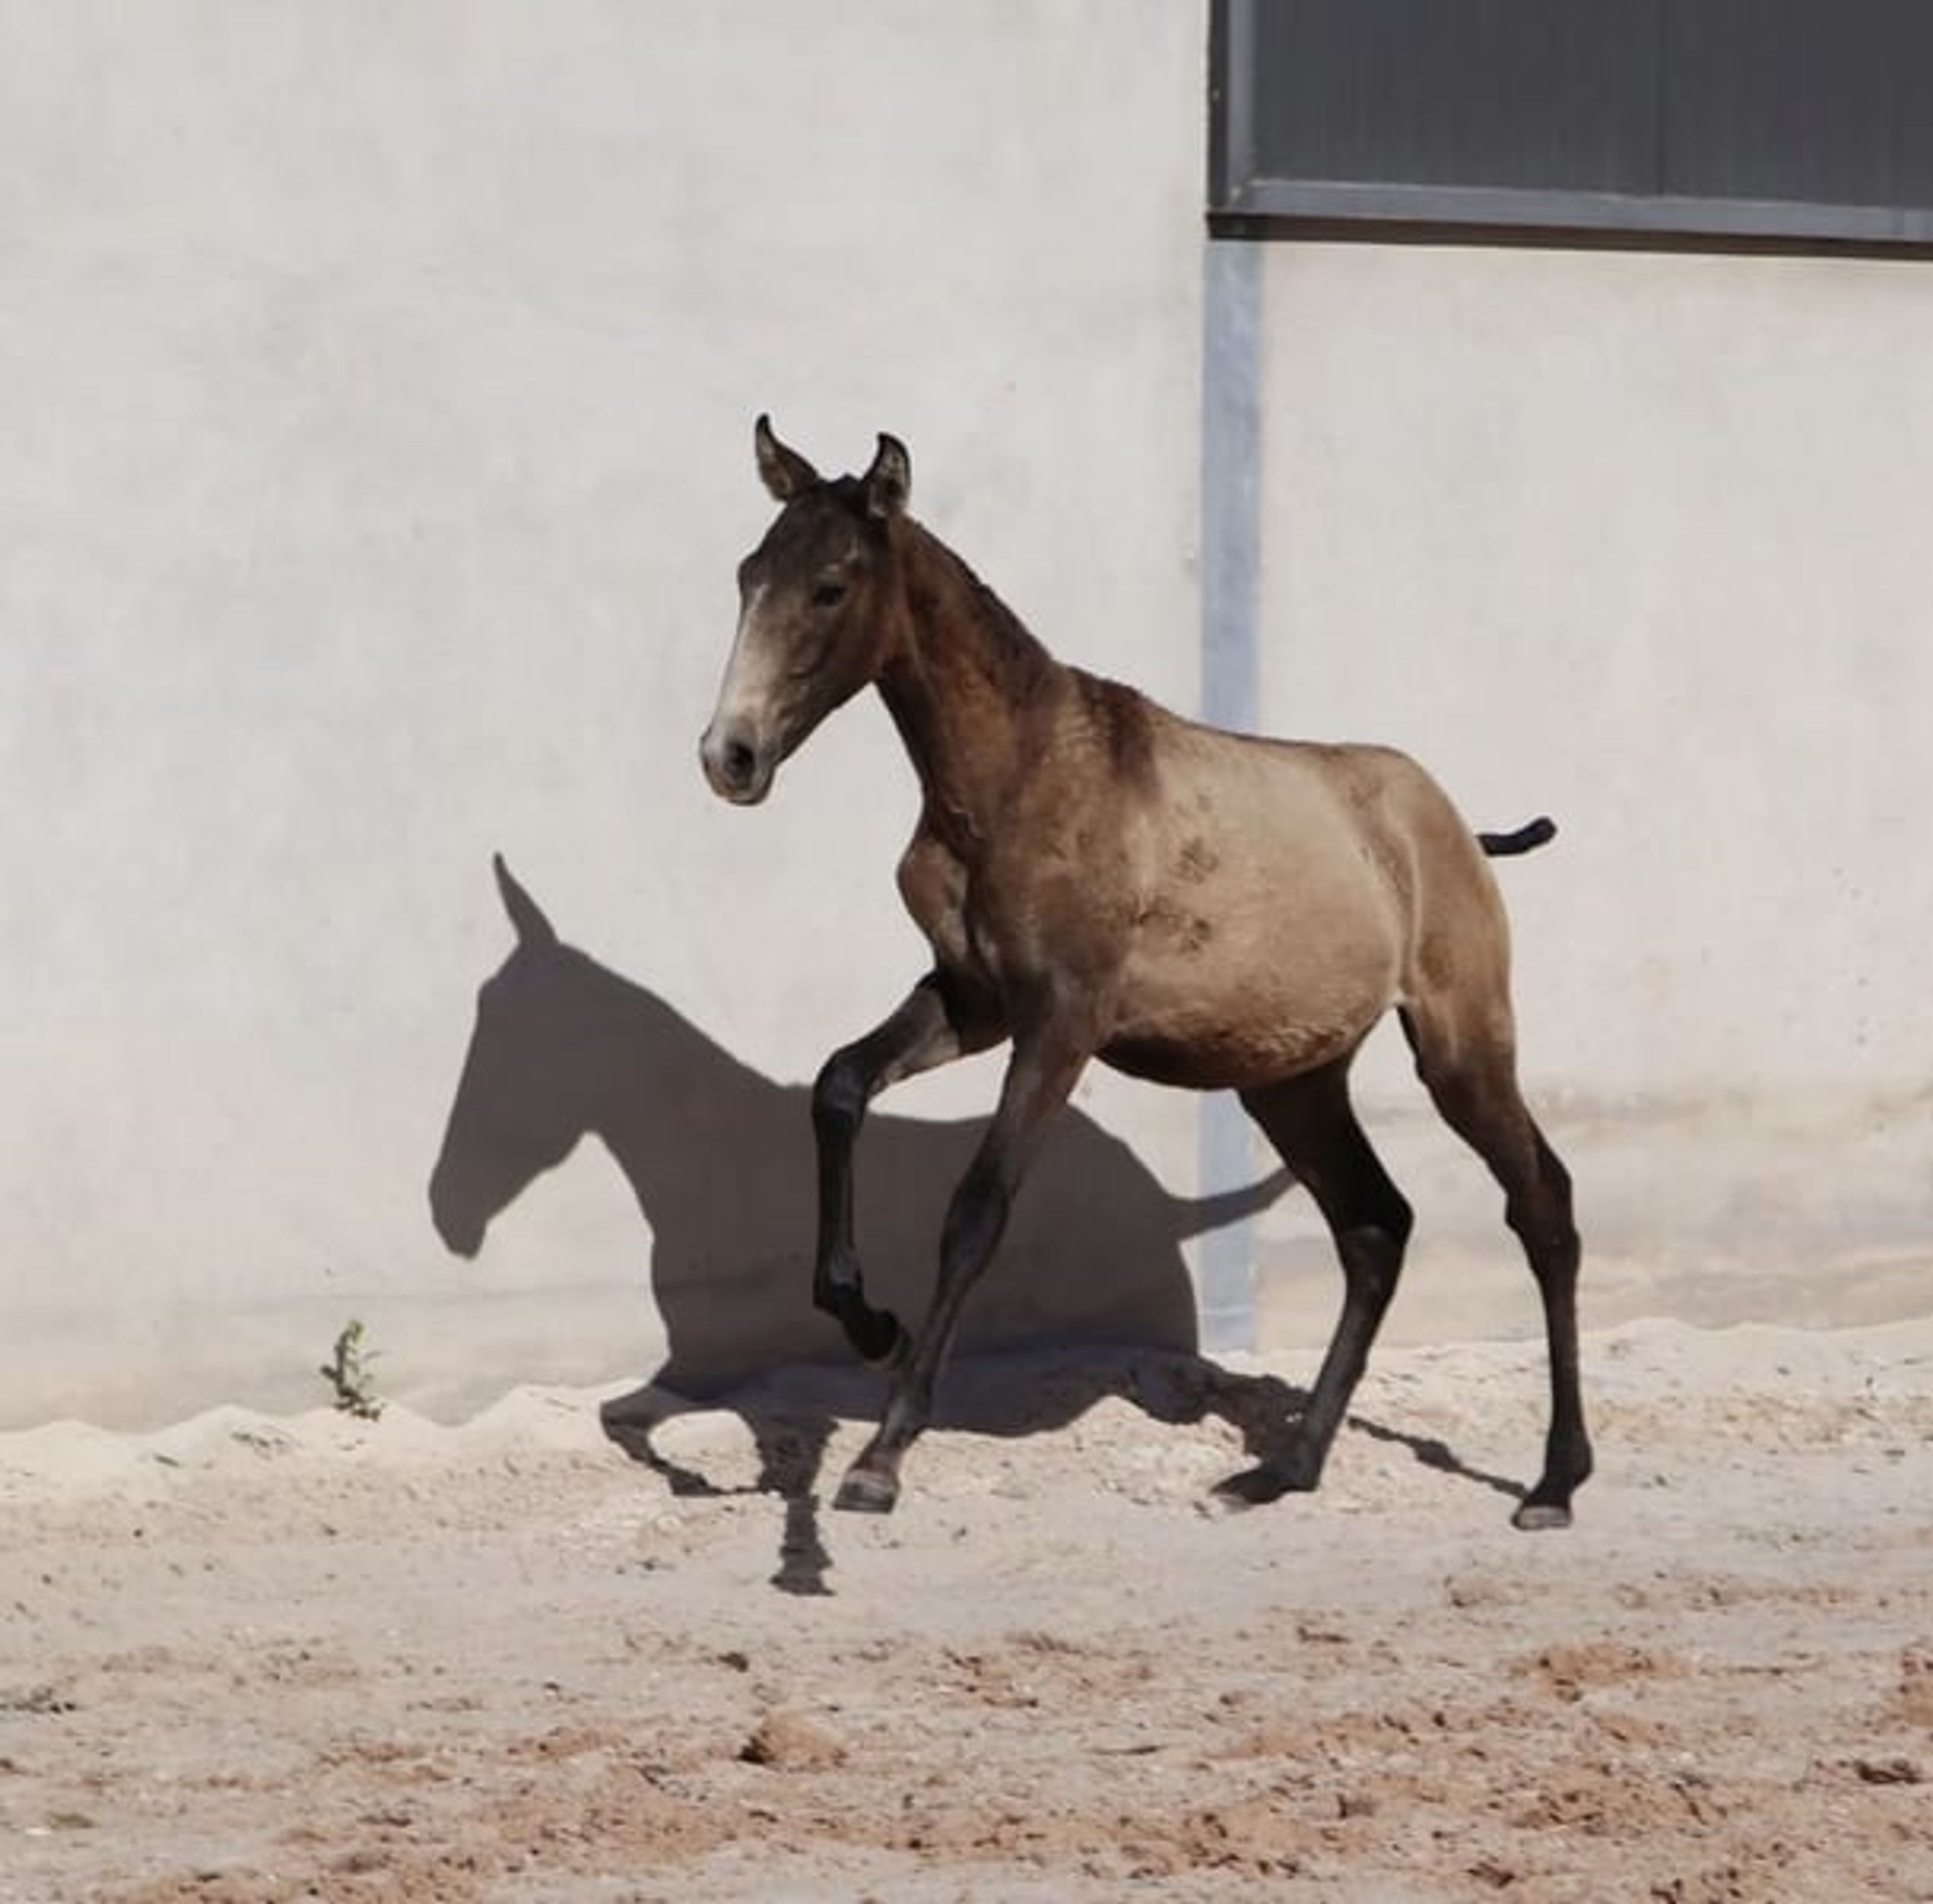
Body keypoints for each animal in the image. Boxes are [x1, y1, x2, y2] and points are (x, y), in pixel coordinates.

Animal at [699, 416, 1590, 1530]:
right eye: (746, 575)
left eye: (830, 584)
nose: (729, 757)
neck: (1017, 775)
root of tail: (1457, 828)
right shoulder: (974, 1000)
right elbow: (838, 1085)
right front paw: (868, 1321)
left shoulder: (1062, 1024)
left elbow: (978, 1209)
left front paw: (882, 1453)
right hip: (1294, 1081)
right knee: (1375, 1226)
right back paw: (1282, 1467)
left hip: (1461, 1044)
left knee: (1542, 1204)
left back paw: (1555, 1480)